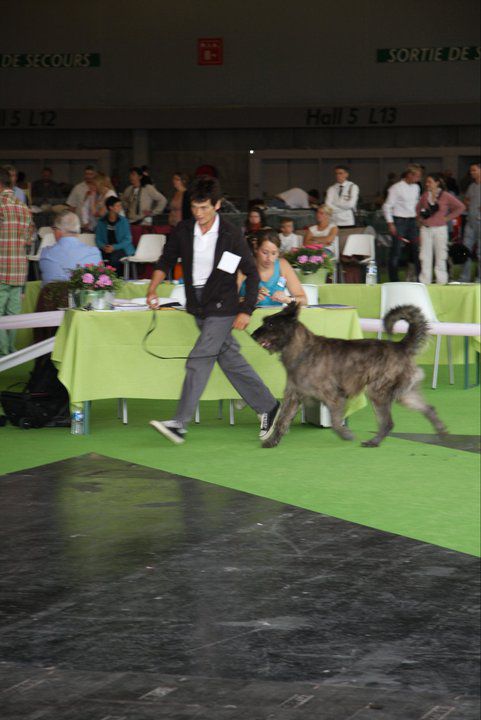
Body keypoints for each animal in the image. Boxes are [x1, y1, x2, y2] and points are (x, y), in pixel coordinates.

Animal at [251, 300, 446, 448]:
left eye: (270, 324)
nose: (253, 335)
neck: (302, 350)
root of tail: (401, 346)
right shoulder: (293, 396)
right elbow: (282, 421)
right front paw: (272, 441)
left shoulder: (333, 396)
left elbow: (336, 423)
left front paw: (346, 435)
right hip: (406, 394)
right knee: (429, 409)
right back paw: (441, 432)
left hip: (378, 392)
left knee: (388, 422)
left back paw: (373, 442)